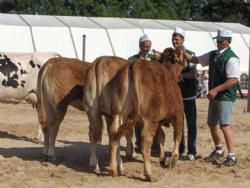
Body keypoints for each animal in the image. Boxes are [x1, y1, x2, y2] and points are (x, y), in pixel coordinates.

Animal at [108, 47, 187, 181]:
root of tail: (134, 65)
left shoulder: (159, 120)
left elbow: (161, 137)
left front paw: (162, 159)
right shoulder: (178, 114)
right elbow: (177, 135)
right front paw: (173, 160)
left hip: (118, 114)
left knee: (114, 135)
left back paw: (113, 170)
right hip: (150, 118)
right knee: (146, 140)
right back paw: (149, 175)